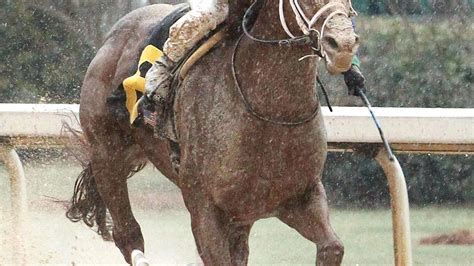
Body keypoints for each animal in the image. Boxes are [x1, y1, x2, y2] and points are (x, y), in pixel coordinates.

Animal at [65, 0, 358, 264]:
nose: (342, 45)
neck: (271, 114)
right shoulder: (205, 208)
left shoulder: (299, 198)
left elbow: (333, 247)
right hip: (107, 154)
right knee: (128, 235)